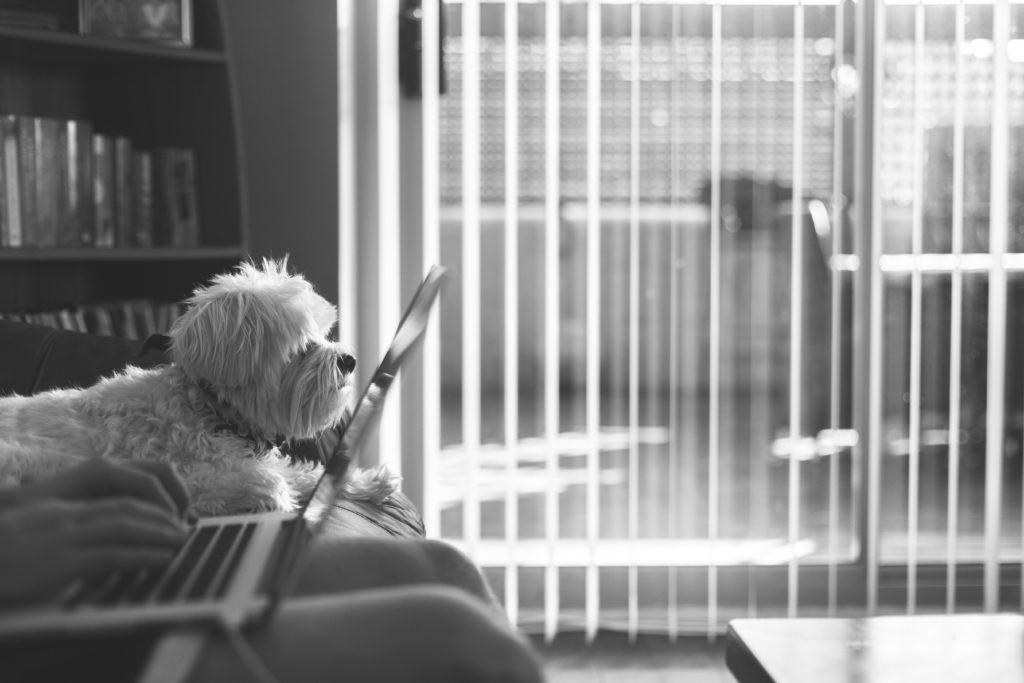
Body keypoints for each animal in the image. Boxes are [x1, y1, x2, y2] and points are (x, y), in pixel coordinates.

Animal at [0, 259, 395, 516]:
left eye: (324, 333)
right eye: (302, 346)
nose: (349, 360)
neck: (209, 409)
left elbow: (304, 472)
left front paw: (368, 482)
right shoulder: (183, 472)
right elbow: (256, 482)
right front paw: (270, 494)